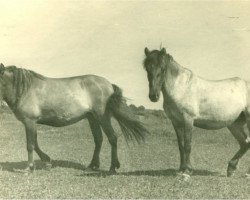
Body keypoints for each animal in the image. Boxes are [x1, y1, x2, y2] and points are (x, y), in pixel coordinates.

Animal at [0, 63, 148, 173]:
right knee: (98, 140)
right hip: (92, 119)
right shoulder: (32, 122)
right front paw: (47, 161)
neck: (25, 89)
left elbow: (30, 145)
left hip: (103, 118)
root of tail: (109, 85)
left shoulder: (30, 121)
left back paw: (112, 167)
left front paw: (29, 168)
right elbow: (35, 143)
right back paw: (92, 166)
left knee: (112, 138)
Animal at [144, 47, 250, 179]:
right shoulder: (176, 122)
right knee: (245, 143)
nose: (154, 96)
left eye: (163, 69)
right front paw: (181, 170)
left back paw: (246, 173)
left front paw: (187, 172)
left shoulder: (188, 120)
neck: (181, 88)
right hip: (234, 124)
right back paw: (231, 169)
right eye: (147, 68)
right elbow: (181, 145)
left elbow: (188, 144)